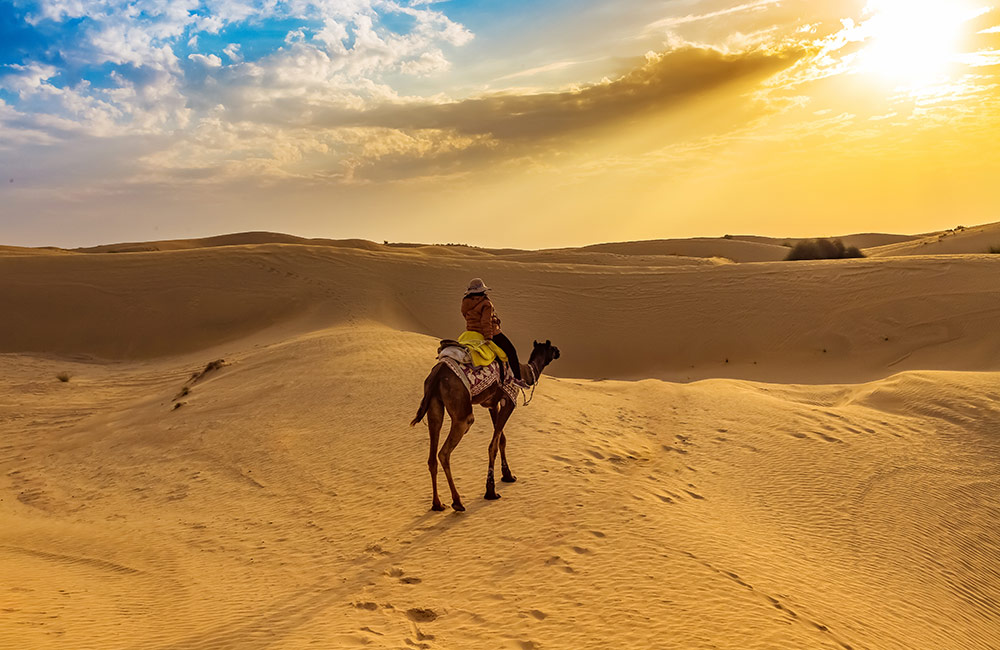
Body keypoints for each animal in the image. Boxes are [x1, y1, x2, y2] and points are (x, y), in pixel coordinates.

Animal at [410, 336, 560, 508]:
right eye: (552, 348)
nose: (558, 351)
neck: (524, 373)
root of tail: (437, 374)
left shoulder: (493, 404)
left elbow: (502, 439)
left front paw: (508, 475)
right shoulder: (509, 401)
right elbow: (493, 445)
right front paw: (491, 491)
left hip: (434, 403)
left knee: (432, 455)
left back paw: (437, 504)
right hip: (462, 412)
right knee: (444, 452)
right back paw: (457, 501)